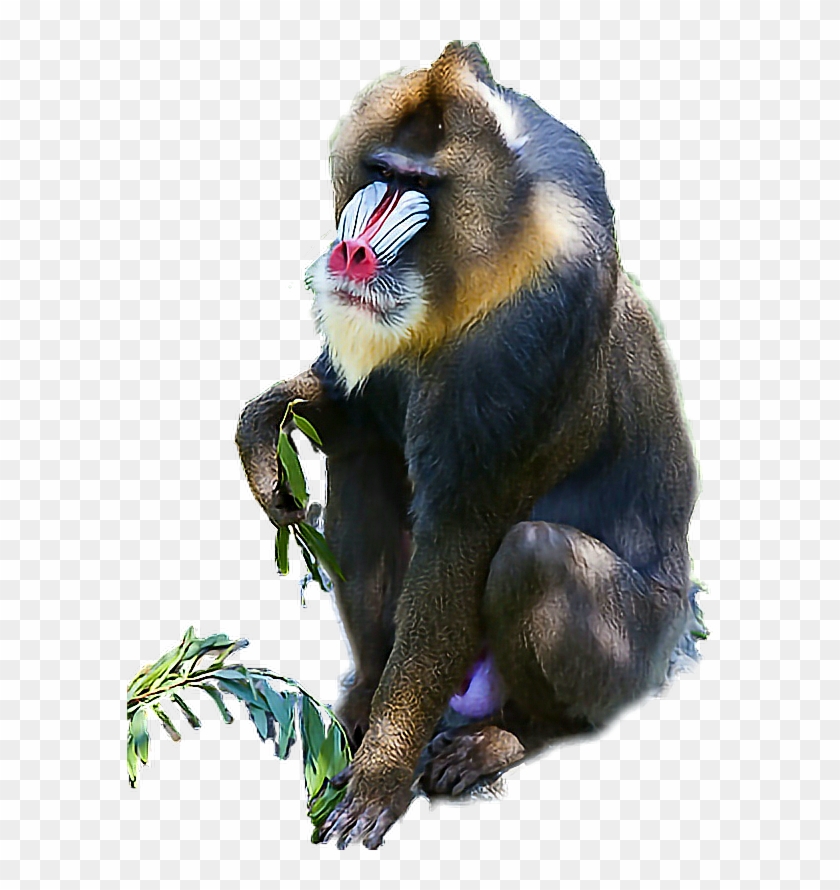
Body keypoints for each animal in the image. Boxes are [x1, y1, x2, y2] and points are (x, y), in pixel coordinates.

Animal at [235, 42, 699, 849]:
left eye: (420, 186)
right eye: (381, 172)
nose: (352, 252)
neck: (475, 265)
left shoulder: (524, 344)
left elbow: (462, 538)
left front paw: (382, 778)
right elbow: (356, 423)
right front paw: (265, 425)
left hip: (628, 658)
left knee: (534, 555)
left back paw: (504, 739)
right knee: (361, 463)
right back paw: (363, 697)